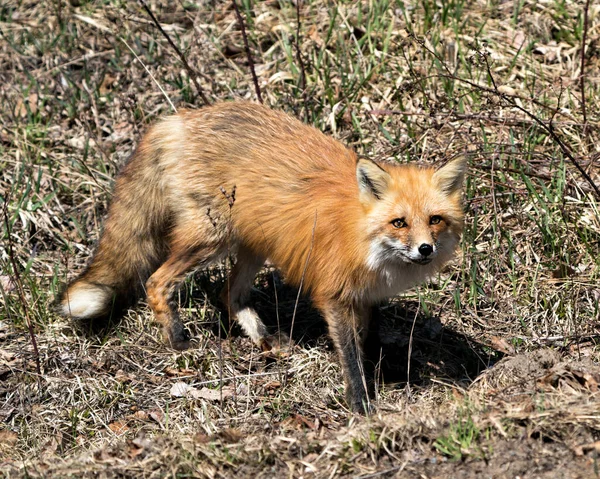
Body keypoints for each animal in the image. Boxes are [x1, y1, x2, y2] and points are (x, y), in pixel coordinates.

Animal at [59, 101, 464, 412]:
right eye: (399, 223)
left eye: (434, 220)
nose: (425, 249)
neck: (364, 241)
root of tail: (177, 119)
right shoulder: (334, 296)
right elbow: (350, 357)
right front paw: (360, 403)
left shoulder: (366, 297)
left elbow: (368, 342)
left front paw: (380, 375)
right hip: (212, 238)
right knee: (156, 282)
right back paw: (179, 343)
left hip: (253, 246)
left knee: (229, 294)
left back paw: (265, 341)